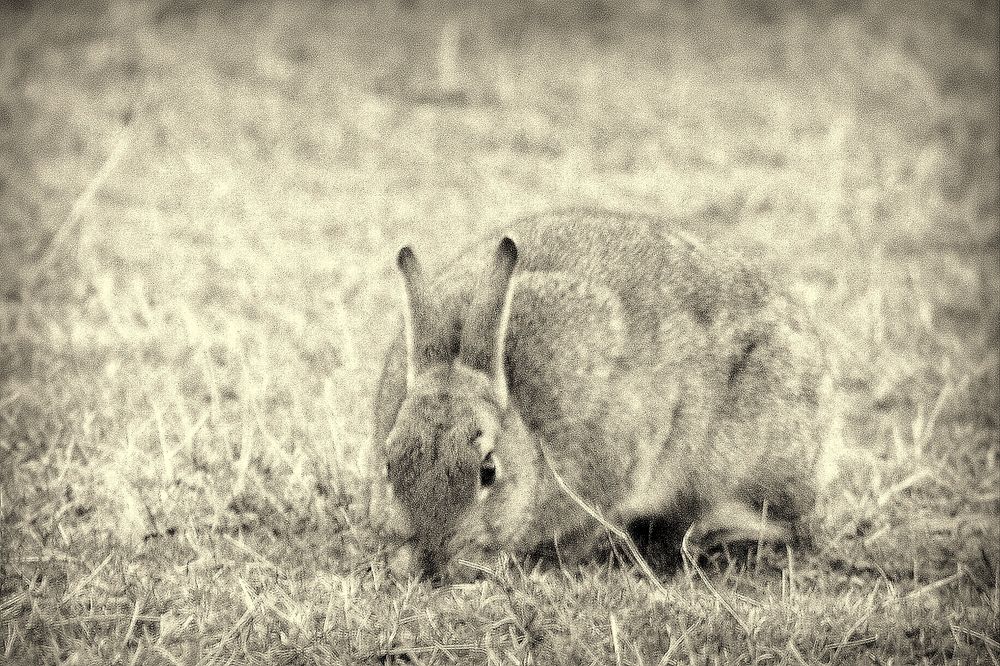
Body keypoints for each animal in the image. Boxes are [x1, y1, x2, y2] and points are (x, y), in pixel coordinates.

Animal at [368, 208, 836, 580]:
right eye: (389, 465)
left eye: (489, 471)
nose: (430, 558)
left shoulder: (611, 474)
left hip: (749, 460)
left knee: (786, 522)